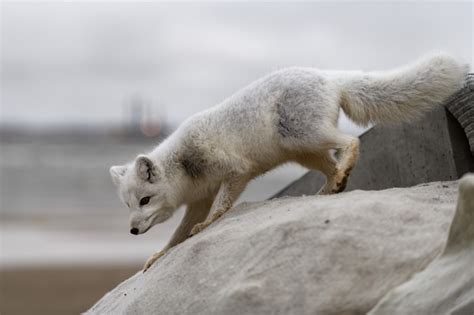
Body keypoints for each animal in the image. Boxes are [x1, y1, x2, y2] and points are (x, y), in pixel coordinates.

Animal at [110, 53, 466, 270]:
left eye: (145, 200)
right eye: (128, 205)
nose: (132, 231)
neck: (184, 167)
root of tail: (327, 76)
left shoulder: (234, 171)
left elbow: (220, 208)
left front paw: (210, 224)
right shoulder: (199, 198)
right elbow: (178, 235)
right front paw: (159, 254)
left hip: (303, 136)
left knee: (349, 142)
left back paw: (341, 175)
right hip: (303, 151)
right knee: (331, 165)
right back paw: (330, 189)